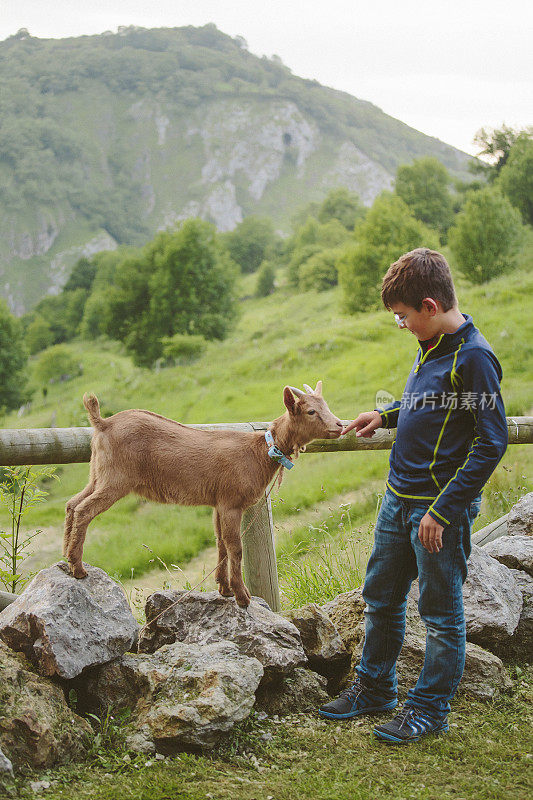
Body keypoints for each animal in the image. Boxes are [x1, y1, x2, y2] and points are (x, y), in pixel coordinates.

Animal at [62, 382, 342, 608]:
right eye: (310, 411)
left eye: (325, 405)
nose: (339, 425)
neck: (257, 453)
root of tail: (103, 423)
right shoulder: (231, 503)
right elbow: (235, 547)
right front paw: (242, 597)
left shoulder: (218, 503)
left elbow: (220, 543)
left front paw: (224, 588)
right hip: (116, 479)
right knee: (84, 509)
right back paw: (78, 568)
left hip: (98, 474)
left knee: (72, 503)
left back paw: (65, 559)